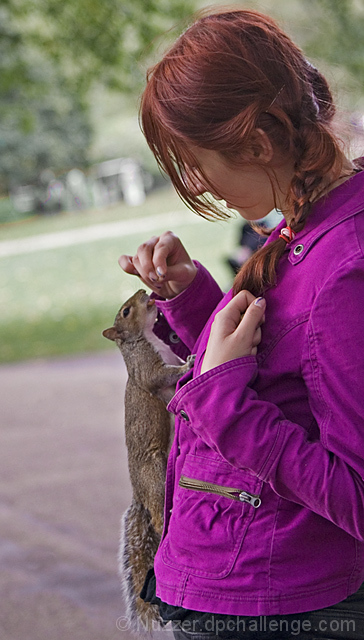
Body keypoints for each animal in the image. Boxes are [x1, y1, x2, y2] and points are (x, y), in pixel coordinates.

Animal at [103, 290, 193, 636]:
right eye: (126, 311)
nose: (144, 292)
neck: (148, 339)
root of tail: (139, 494)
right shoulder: (148, 369)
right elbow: (164, 376)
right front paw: (191, 363)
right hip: (155, 475)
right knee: (157, 516)